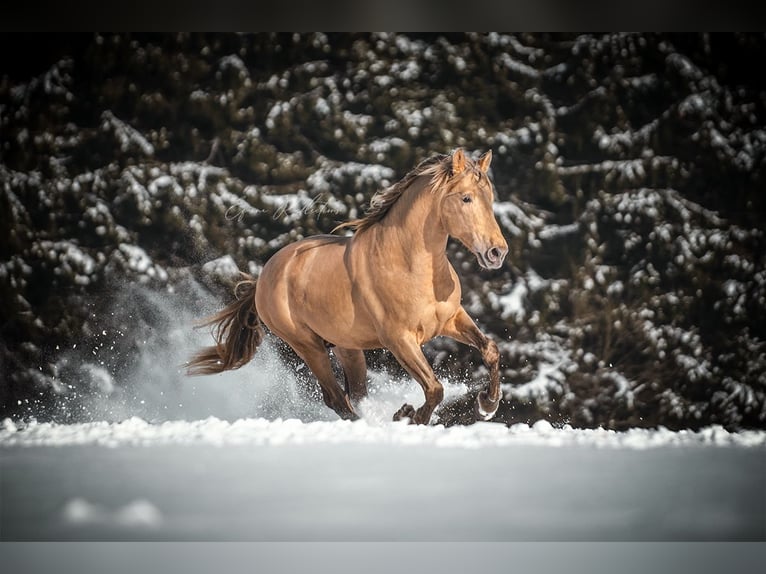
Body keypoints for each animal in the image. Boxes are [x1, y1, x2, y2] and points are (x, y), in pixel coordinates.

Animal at [186, 148, 509, 424]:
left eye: (490, 198)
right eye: (466, 198)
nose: (497, 252)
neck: (409, 264)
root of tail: (263, 277)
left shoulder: (451, 319)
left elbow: (490, 349)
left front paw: (487, 405)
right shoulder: (400, 340)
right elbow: (434, 388)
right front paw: (411, 417)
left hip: (347, 348)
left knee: (354, 395)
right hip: (308, 346)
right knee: (336, 399)